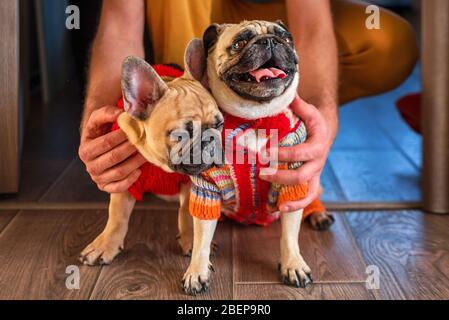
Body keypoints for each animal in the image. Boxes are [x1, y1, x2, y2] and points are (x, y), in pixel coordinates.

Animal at [79, 39, 223, 264]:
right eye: (182, 134)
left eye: (219, 125)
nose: (211, 139)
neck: (161, 164)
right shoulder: (125, 178)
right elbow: (117, 215)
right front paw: (105, 245)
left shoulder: (189, 182)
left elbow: (186, 211)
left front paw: (190, 239)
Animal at [178, 20, 318, 296]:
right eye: (239, 43)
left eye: (286, 38)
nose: (271, 41)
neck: (255, 117)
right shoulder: (207, 188)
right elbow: (202, 238)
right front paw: (197, 270)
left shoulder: (292, 180)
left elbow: (290, 235)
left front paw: (293, 264)